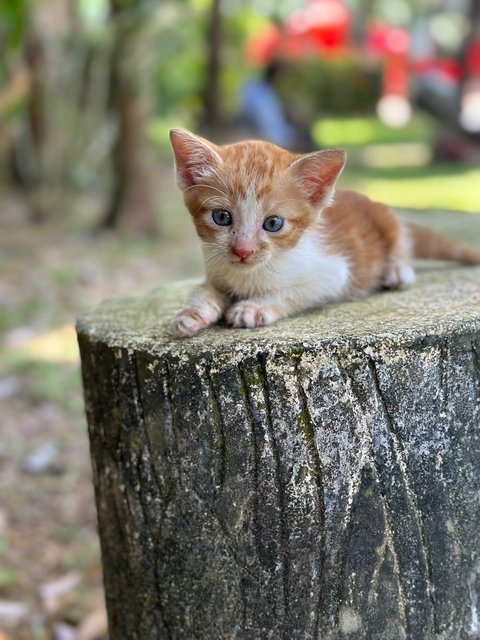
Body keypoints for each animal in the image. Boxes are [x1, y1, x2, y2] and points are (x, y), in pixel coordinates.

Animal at [169, 130, 480, 340]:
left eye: (273, 223)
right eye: (221, 217)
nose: (243, 251)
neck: (249, 276)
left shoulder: (332, 273)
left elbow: (293, 291)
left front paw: (253, 308)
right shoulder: (215, 271)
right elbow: (201, 289)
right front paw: (191, 314)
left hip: (389, 225)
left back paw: (396, 271)